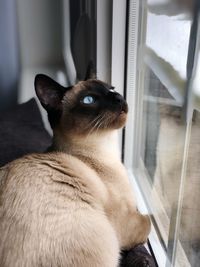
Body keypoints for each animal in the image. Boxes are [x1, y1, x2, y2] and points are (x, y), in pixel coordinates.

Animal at [0, 75, 150, 267]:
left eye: (112, 89)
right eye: (89, 100)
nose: (119, 98)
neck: (107, 151)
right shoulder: (127, 223)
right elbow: (148, 221)